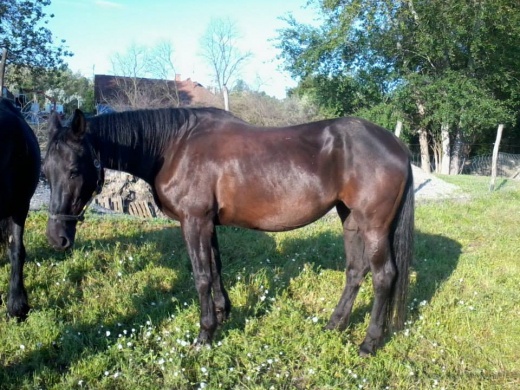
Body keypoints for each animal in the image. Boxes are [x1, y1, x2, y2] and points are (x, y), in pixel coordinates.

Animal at [42, 107, 412, 356]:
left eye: (74, 170)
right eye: (45, 170)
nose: (56, 238)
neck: (174, 147)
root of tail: (396, 144)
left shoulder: (194, 221)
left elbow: (202, 276)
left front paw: (205, 334)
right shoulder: (208, 224)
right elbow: (217, 269)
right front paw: (223, 315)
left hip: (374, 225)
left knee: (384, 276)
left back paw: (369, 343)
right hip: (350, 218)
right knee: (356, 271)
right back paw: (335, 324)